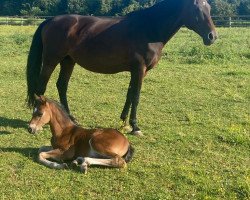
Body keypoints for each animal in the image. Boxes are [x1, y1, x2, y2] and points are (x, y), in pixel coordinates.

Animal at [25, 0, 217, 136]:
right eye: (196, 8)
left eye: (209, 7)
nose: (212, 36)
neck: (149, 29)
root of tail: (51, 20)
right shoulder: (139, 69)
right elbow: (136, 96)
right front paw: (135, 126)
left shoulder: (139, 71)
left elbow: (130, 94)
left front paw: (124, 121)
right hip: (51, 60)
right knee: (41, 87)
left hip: (68, 61)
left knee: (62, 85)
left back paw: (71, 118)